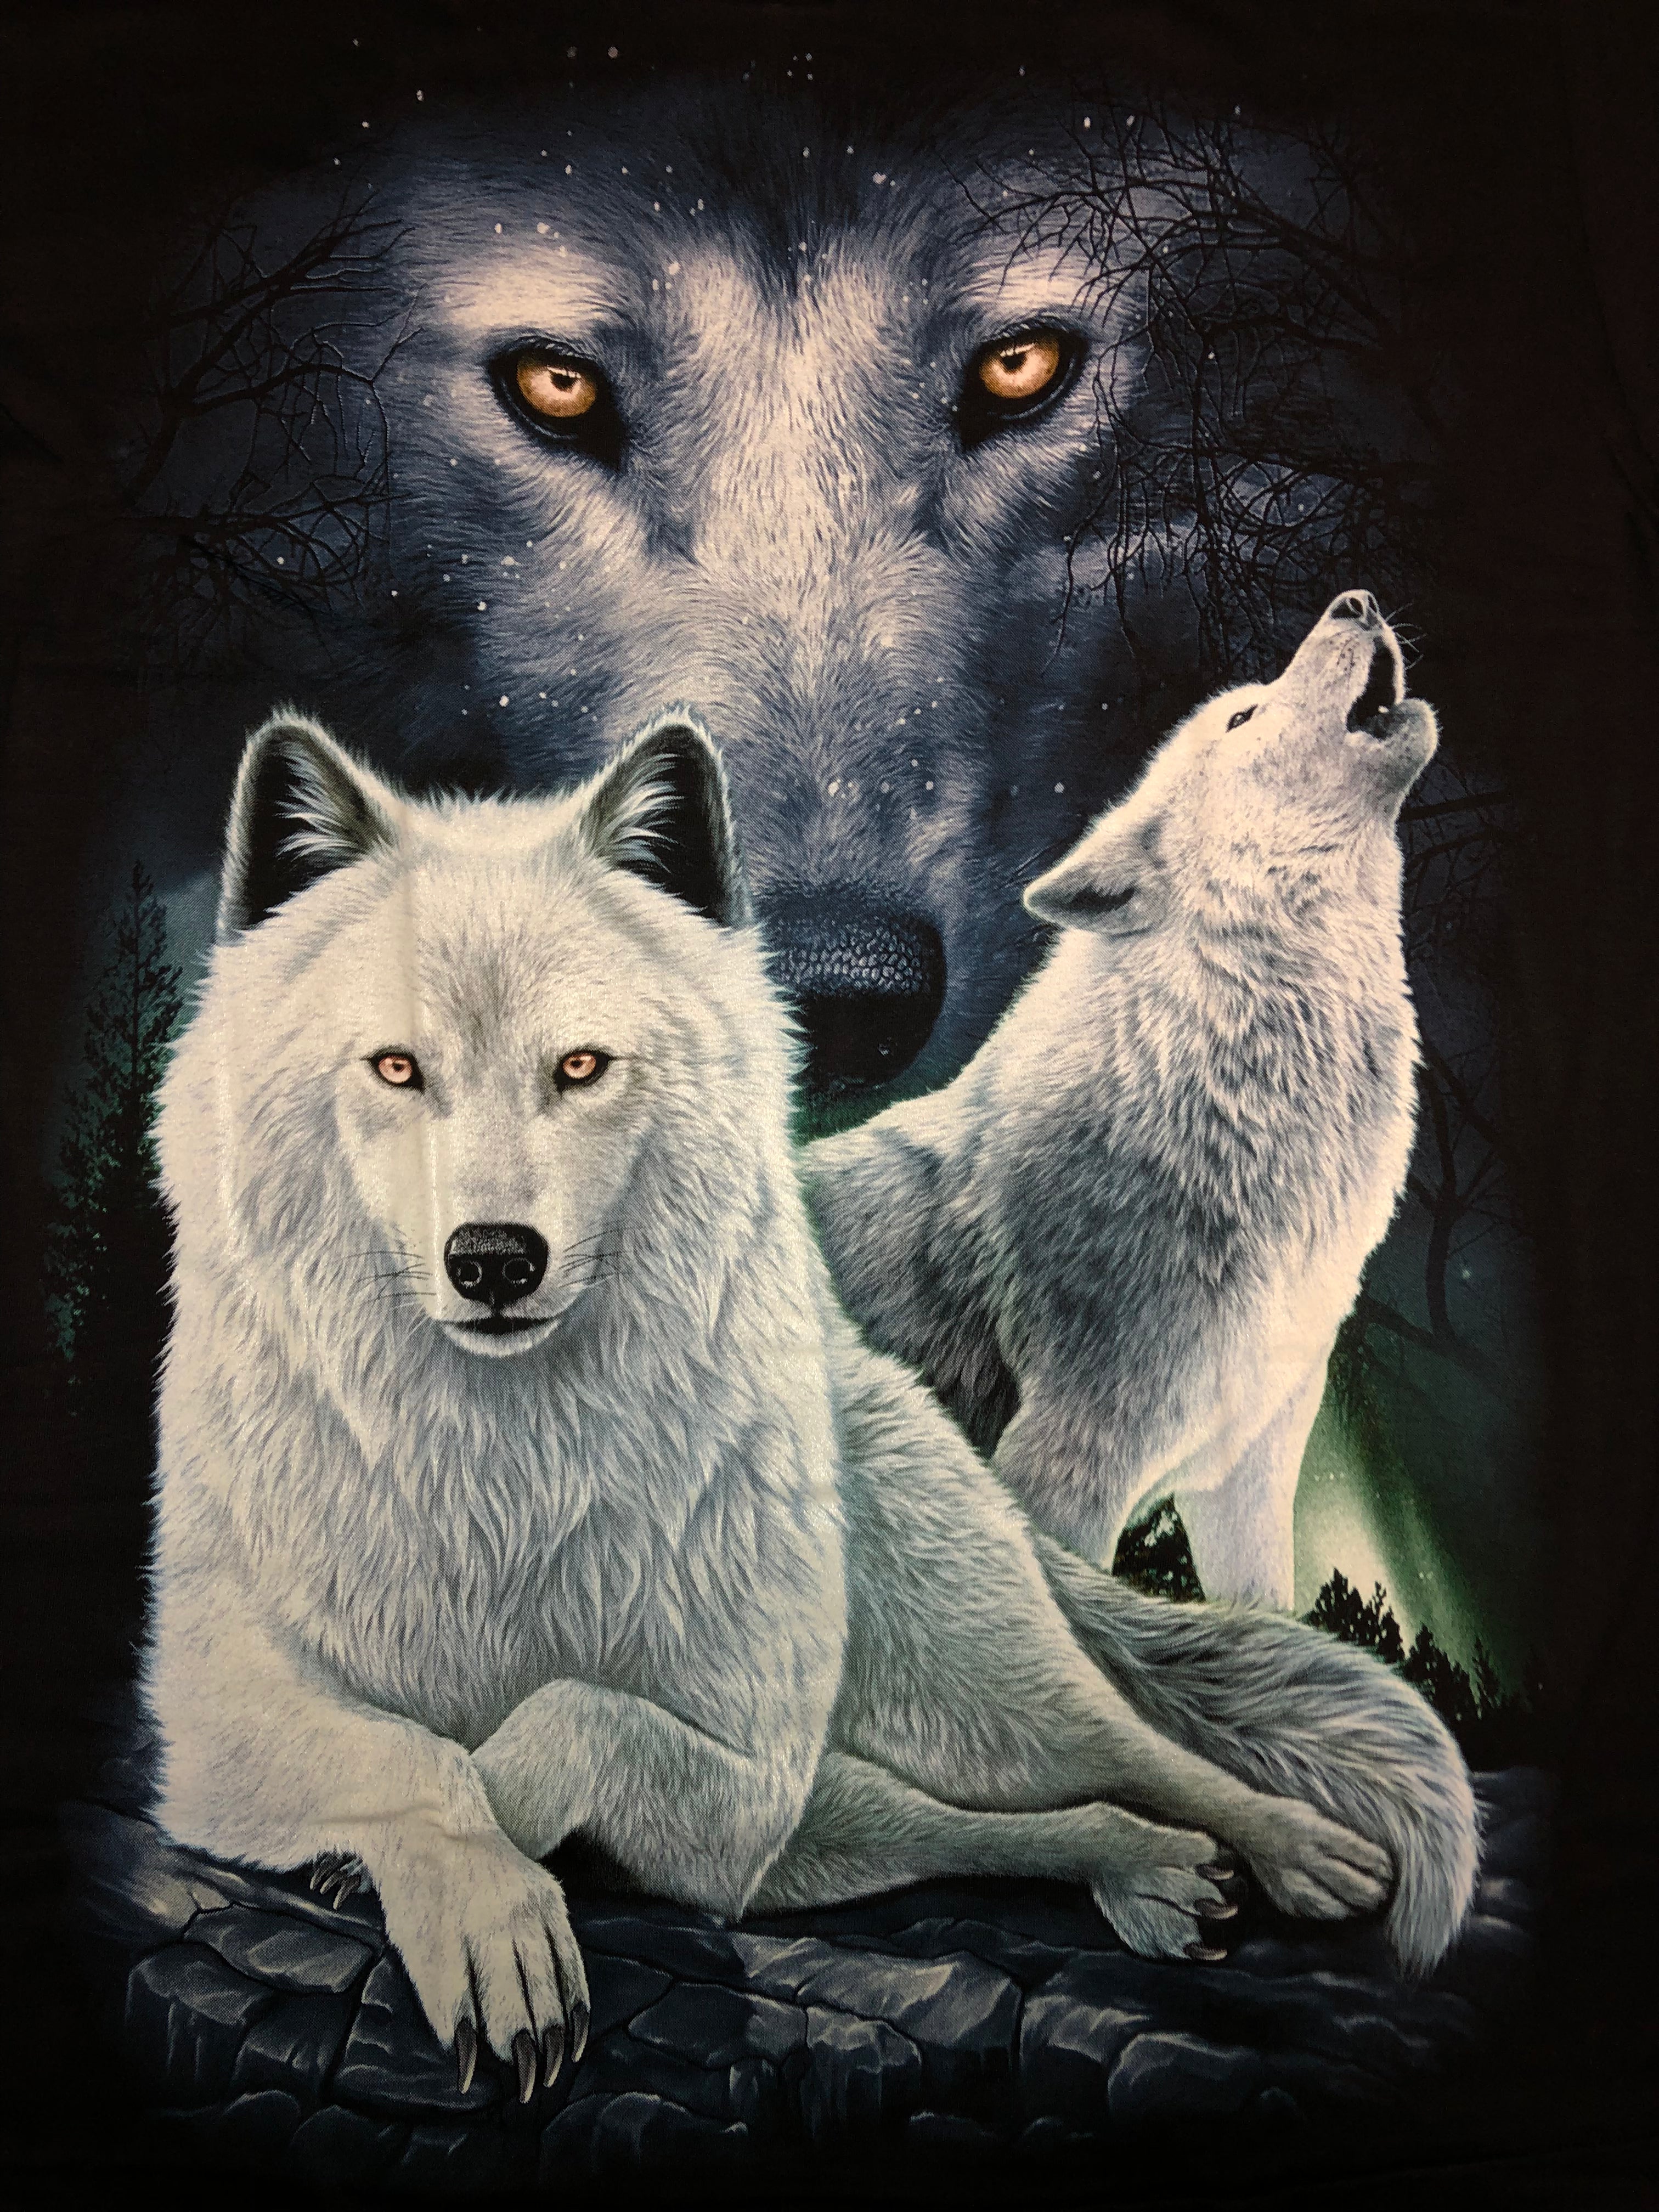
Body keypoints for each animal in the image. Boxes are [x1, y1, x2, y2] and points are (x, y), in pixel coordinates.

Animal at [144, 702, 1474, 2095]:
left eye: (582, 1066)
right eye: (397, 1067)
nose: (494, 1260)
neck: (509, 1466)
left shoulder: (750, 1778)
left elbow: (562, 1719)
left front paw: (483, 1876)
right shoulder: (209, 1711)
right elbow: (407, 1758)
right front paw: (453, 1890)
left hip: (975, 1694)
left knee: (1133, 1749)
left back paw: (1292, 1851)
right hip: (855, 1811)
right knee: (1002, 1822)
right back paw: (1153, 1874)